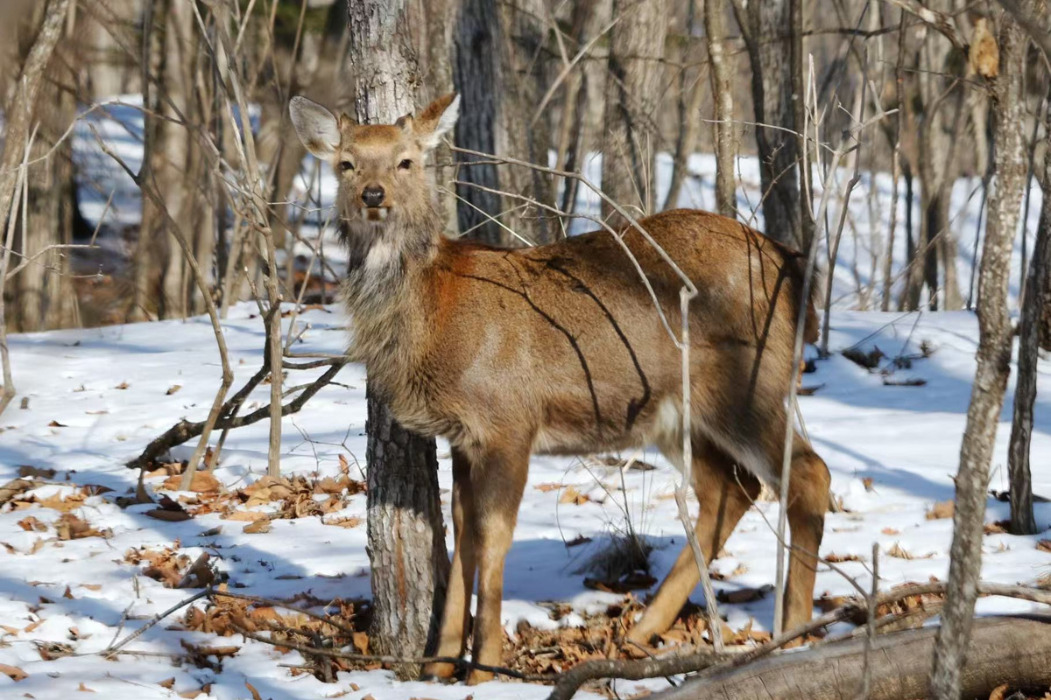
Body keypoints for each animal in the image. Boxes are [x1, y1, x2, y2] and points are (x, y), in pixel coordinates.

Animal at [289, 92, 830, 685]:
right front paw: (439, 664)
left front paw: (485, 667)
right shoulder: (464, 436)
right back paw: (640, 633)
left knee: (807, 474)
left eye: (405, 161)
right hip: (676, 413)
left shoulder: (509, 420)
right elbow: (463, 532)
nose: (373, 194)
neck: (437, 313)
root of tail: (791, 265)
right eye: (346, 163)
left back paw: (792, 630)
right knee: (731, 488)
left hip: (749, 381)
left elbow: (494, 537)